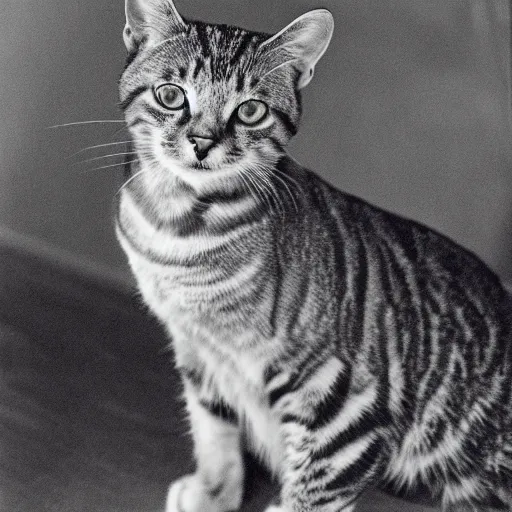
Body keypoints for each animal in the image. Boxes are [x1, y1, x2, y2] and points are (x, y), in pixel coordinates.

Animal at [115, 1, 512, 512]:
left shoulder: (345, 413)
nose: (202, 141)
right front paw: (214, 491)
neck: (179, 230)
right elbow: (214, 426)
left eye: (250, 110)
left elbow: (313, 494)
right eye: (170, 95)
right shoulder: (199, 352)